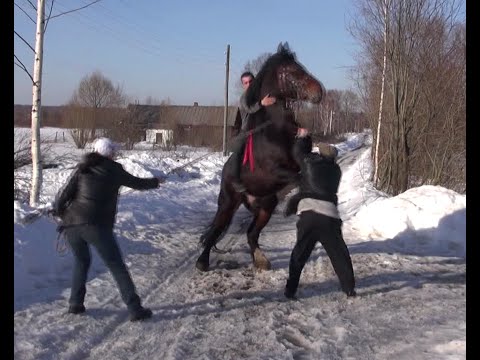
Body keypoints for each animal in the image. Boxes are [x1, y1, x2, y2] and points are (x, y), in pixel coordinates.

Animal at [196, 42, 326, 272]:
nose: (318, 91)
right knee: (215, 231)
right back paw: (202, 262)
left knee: (251, 233)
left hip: (266, 206)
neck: (278, 128)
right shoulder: (276, 171)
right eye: (290, 71)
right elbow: (301, 177)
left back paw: (261, 261)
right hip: (228, 203)